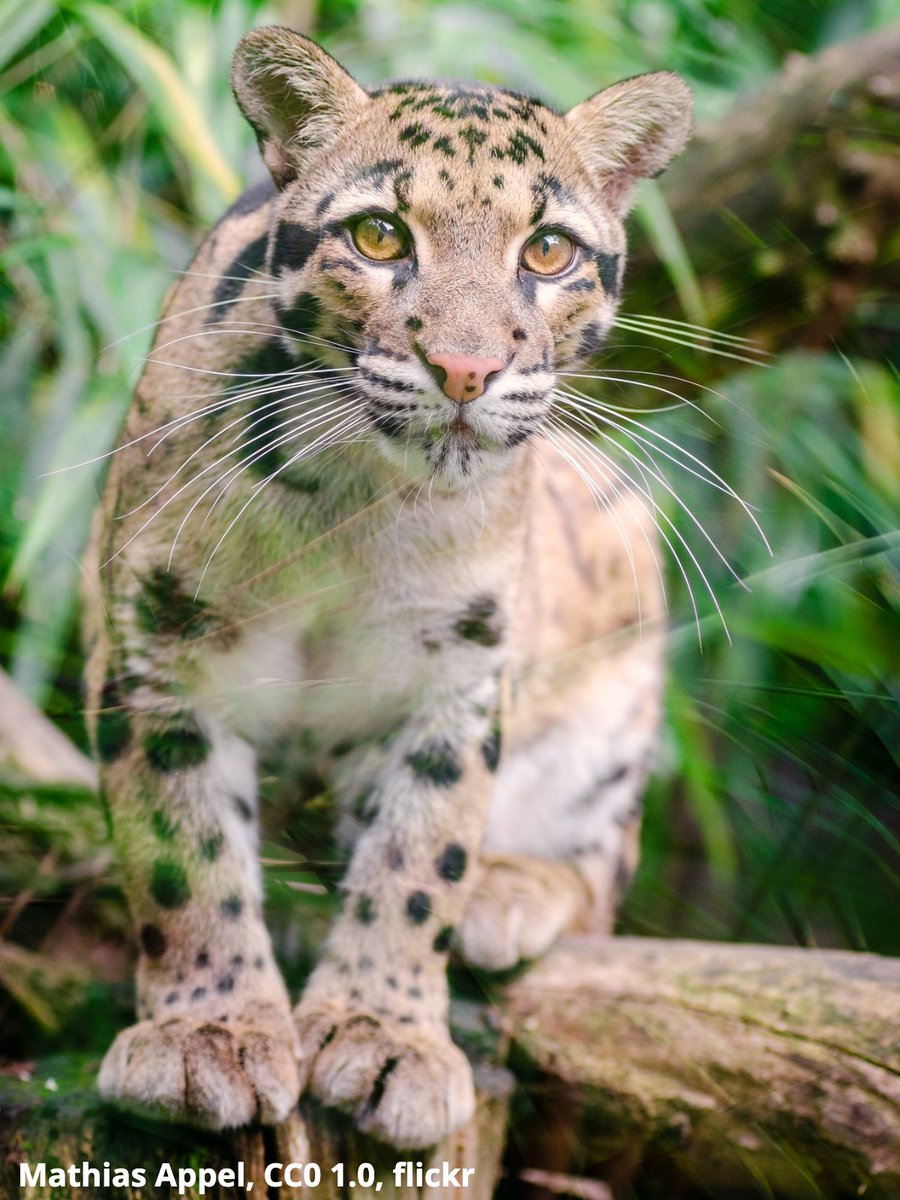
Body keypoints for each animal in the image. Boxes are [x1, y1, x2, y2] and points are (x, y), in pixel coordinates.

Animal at [84, 28, 696, 1147]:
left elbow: (422, 855)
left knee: (601, 872)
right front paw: (207, 1035)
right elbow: (181, 851)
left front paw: (385, 1035)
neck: (359, 505)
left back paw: (509, 891)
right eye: (378, 236)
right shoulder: (156, 646)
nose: (464, 370)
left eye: (548, 251)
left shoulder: (456, 671)